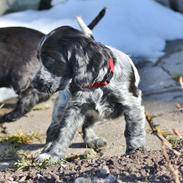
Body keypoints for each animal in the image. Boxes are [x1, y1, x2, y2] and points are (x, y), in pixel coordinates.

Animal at [35, 23, 144, 162]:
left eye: (50, 60)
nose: (35, 84)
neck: (99, 84)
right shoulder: (75, 107)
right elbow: (64, 132)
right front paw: (52, 155)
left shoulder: (132, 104)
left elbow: (133, 130)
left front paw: (135, 152)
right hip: (62, 106)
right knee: (54, 128)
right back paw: (48, 147)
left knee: (87, 124)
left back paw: (92, 140)